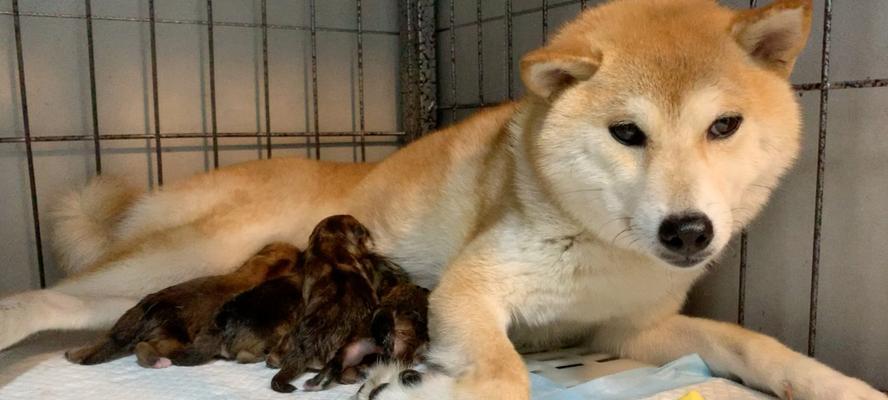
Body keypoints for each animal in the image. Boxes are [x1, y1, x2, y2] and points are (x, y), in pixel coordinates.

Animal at [66, 242, 300, 368]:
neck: (252, 269)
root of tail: (144, 311)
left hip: (119, 326)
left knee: (102, 340)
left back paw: (75, 353)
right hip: (172, 338)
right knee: (144, 347)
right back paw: (158, 361)